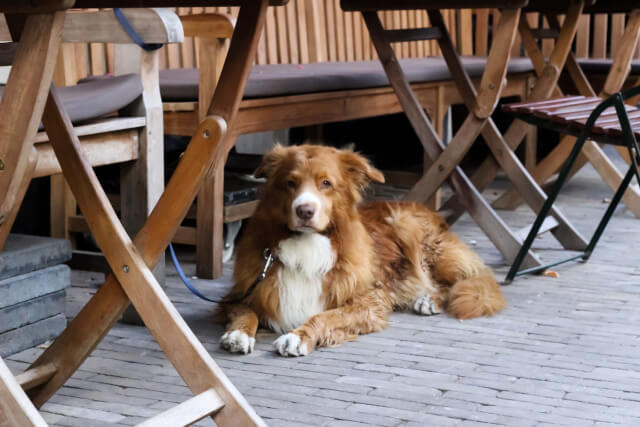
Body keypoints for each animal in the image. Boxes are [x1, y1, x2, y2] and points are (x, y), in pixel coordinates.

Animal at [220, 145, 504, 356]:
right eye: (290, 183)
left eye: (326, 183)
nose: (305, 211)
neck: (308, 244)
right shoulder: (238, 295)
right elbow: (246, 312)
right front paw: (238, 333)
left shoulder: (367, 302)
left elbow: (324, 316)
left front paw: (298, 336)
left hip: (411, 230)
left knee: (456, 282)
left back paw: (428, 299)